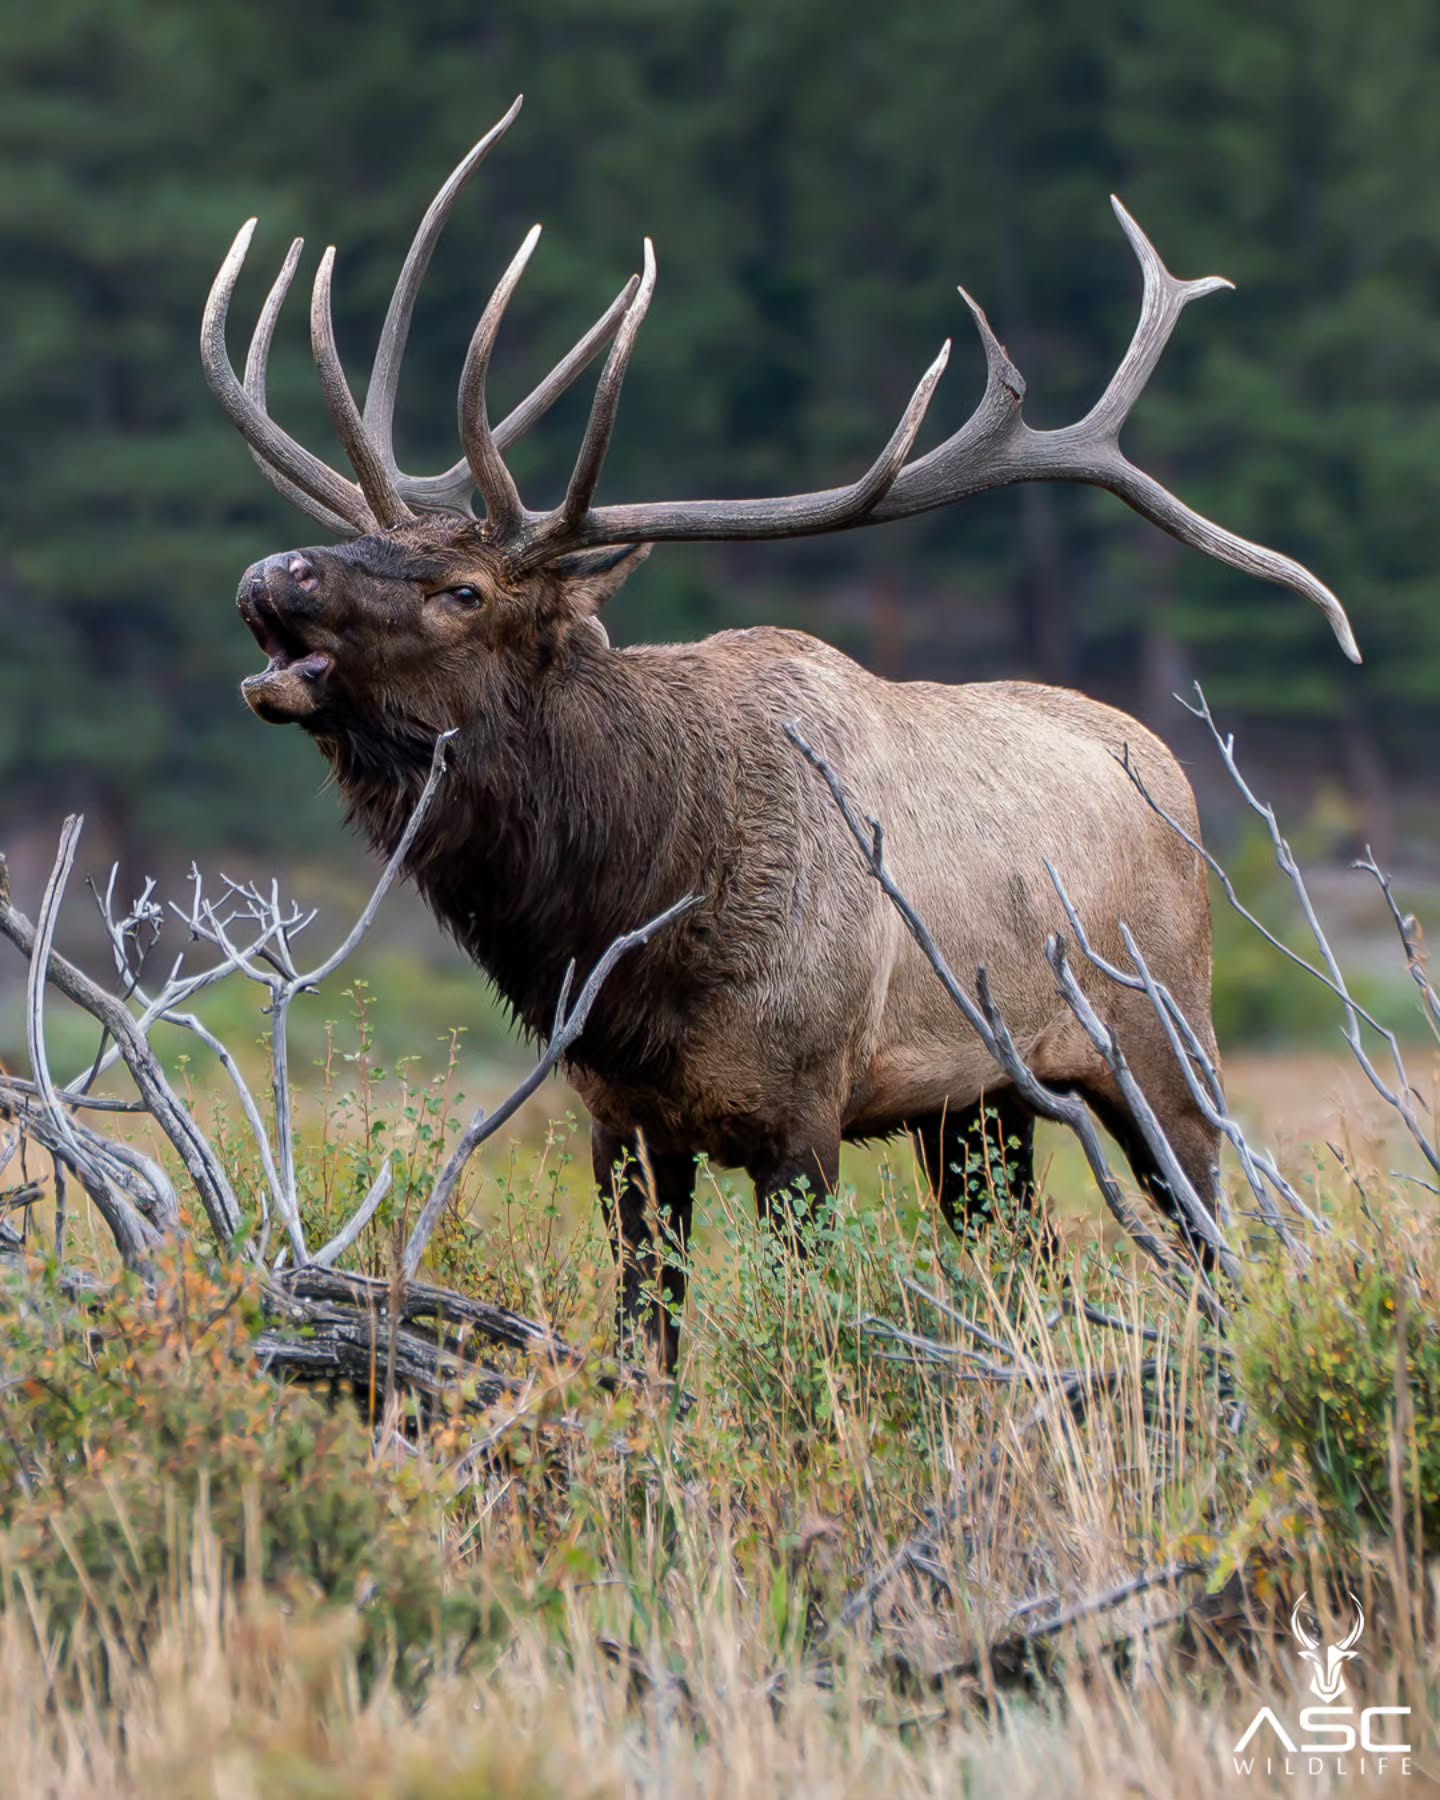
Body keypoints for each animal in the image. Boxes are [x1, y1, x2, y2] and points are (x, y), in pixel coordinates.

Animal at [201, 97, 1358, 1368]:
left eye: (463, 589)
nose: (274, 570)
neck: (635, 918)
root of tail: (1173, 778)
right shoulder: (620, 1122)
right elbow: (647, 1343)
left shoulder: (803, 1107)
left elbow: (809, 1334)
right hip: (981, 1104)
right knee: (1029, 1259)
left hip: (1163, 1040)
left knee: (1213, 1244)